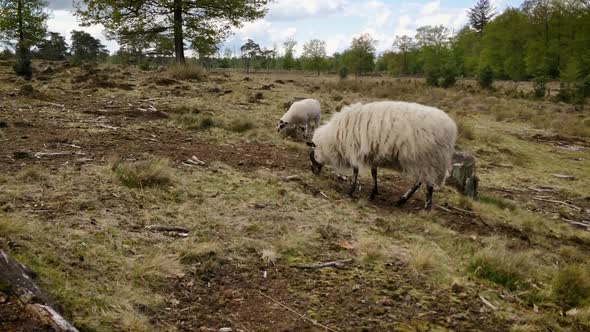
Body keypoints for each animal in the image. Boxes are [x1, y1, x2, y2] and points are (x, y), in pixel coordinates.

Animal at [308, 101, 460, 210]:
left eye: (313, 155)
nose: (313, 171)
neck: (334, 138)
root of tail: (451, 129)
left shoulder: (354, 149)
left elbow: (355, 171)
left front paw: (350, 191)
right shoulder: (372, 153)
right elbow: (374, 173)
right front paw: (373, 193)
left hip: (428, 159)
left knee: (426, 184)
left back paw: (422, 206)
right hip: (425, 161)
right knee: (420, 181)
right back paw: (404, 201)